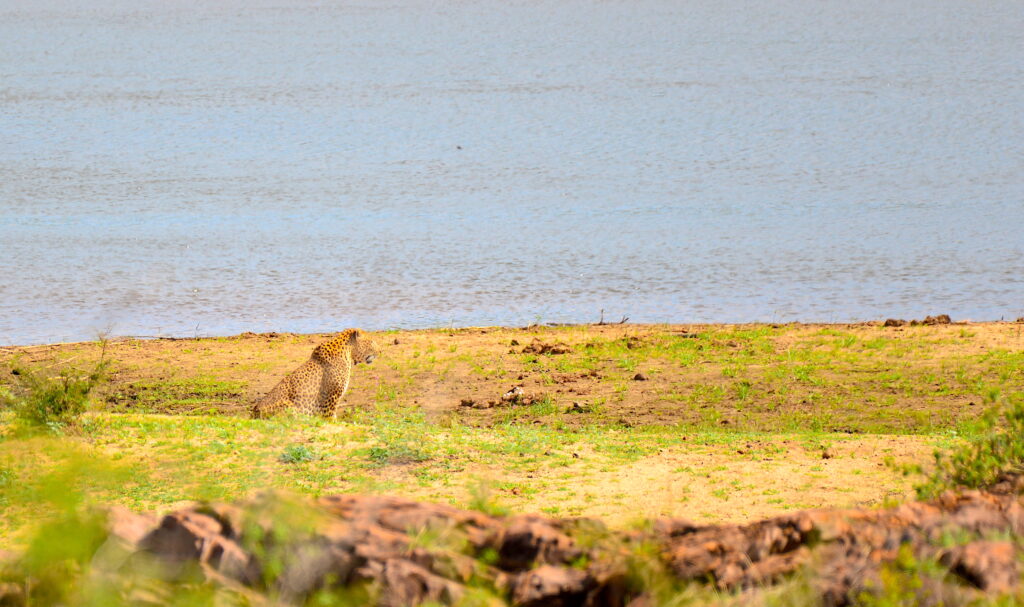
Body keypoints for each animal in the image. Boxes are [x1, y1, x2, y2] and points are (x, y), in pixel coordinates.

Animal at [250, 329, 380, 419]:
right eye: (372, 342)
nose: (380, 351)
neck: (348, 352)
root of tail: (253, 413)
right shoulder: (331, 397)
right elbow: (330, 417)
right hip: (289, 405)